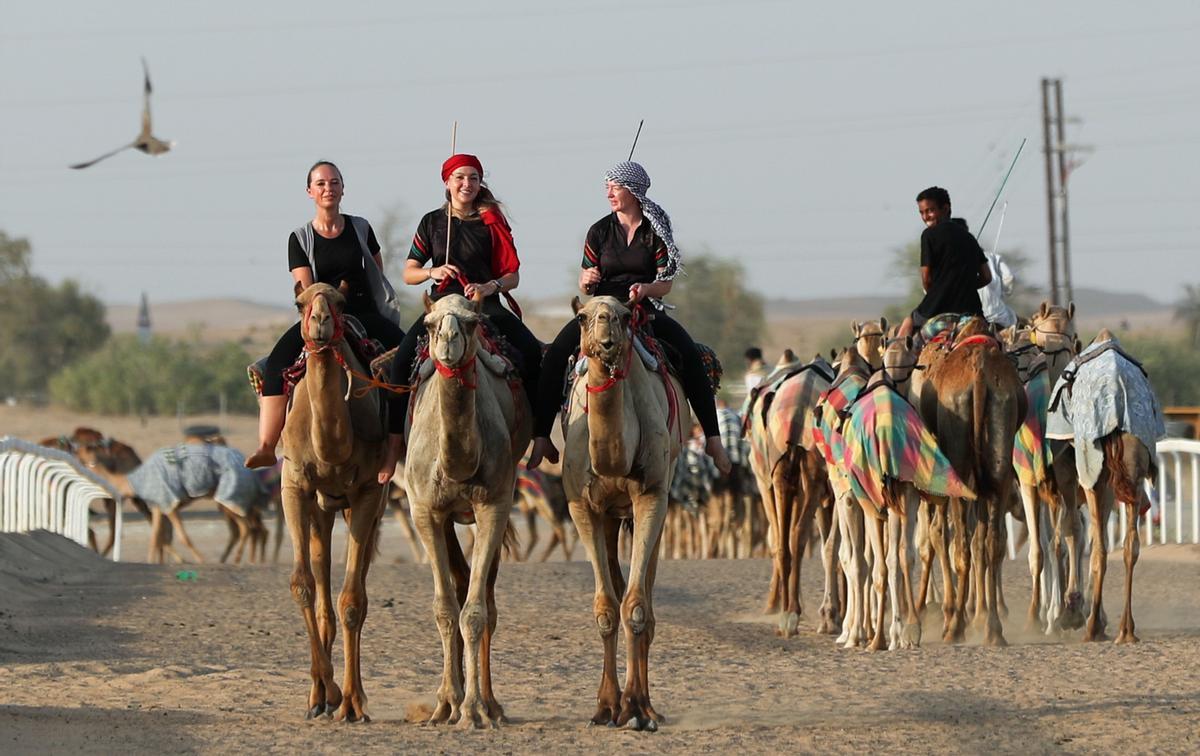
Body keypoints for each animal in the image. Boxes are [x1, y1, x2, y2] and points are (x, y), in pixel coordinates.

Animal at [396, 295, 532, 729]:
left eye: (472, 323)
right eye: (429, 324)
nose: (449, 342)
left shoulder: (494, 506)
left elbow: (474, 612)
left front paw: (473, 710)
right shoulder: (424, 510)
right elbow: (444, 609)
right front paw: (447, 705)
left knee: (485, 597)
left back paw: (491, 703)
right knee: (458, 584)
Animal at [559, 297, 686, 734]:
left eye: (626, 315)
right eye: (582, 317)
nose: (607, 333)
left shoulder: (650, 496)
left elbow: (635, 607)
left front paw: (635, 709)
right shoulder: (582, 506)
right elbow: (606, 608)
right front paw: (605, 707)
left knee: (645, 594)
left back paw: (648, 707)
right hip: (612, 516)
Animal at [916, 319, 1022, 648]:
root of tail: (978, 375)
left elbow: (939, 537)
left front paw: (948, 613)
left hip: (957, 469)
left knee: (957, 544)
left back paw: (954, 626)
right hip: (999, 452)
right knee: (990, 544)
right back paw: (992, 629)